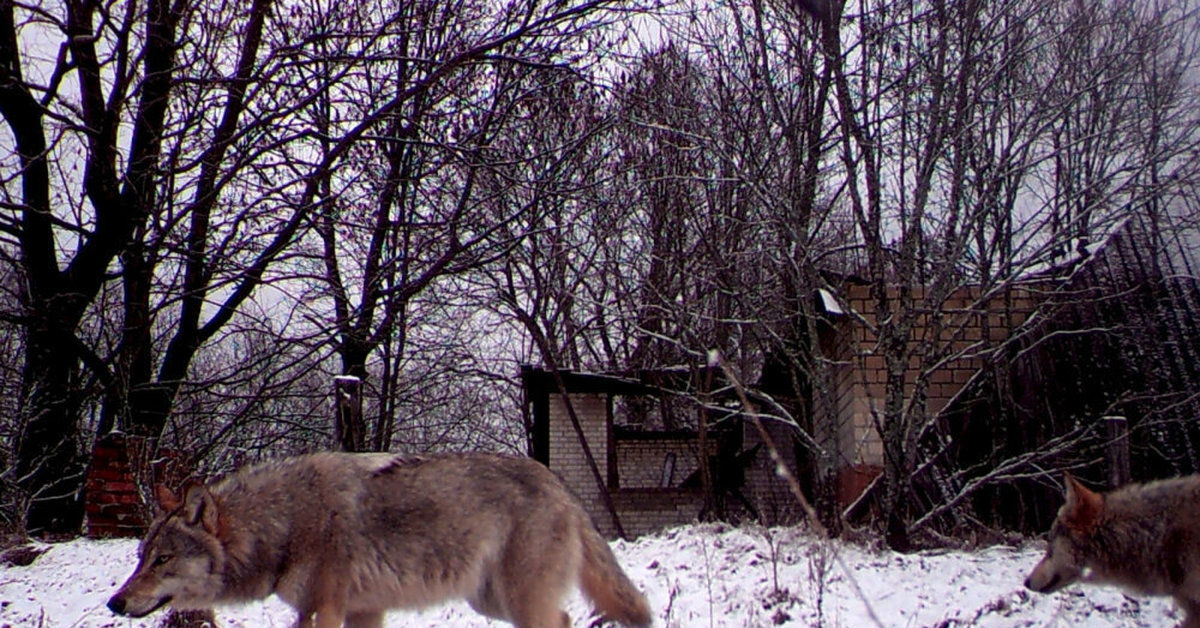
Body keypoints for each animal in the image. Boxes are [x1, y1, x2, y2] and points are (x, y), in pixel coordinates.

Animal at [110, 451, 657, 628]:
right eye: (140, 557)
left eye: (163, 560)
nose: (115, 603)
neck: (285, 523)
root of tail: (558, 483)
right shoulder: (363, 611)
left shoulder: (323, 611)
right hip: (492, 603)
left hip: (518, 601)